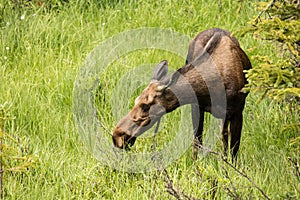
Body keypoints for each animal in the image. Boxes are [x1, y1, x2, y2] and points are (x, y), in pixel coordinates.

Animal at [112, 27, 251, 159]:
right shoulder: (197, 106)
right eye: (136, 100)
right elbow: (197, 141)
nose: (117, 135)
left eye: (145, 105)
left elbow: (234, 150)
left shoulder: (237, 112)